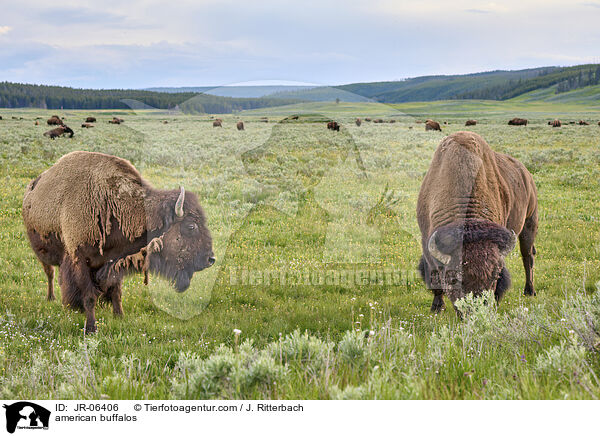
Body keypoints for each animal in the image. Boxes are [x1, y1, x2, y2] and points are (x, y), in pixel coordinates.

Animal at [23, 152, 216, 332]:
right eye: (191, 226)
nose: (210, 259)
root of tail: (33, 188)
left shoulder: (114, 262)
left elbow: (115, 292)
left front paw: (119, 317)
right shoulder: (80, 260)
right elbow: (89, 296)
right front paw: (91, 329)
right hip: (42, 253)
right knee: (50, 273)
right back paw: (51, 298)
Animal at [418, 130, 540, 314]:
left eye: (494, 276)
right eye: (454, 279)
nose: (475, 310)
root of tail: (526, 173)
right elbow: (434, 275)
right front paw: (437, 307)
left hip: (529, 222)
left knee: (528, 256)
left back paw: (530, 290)